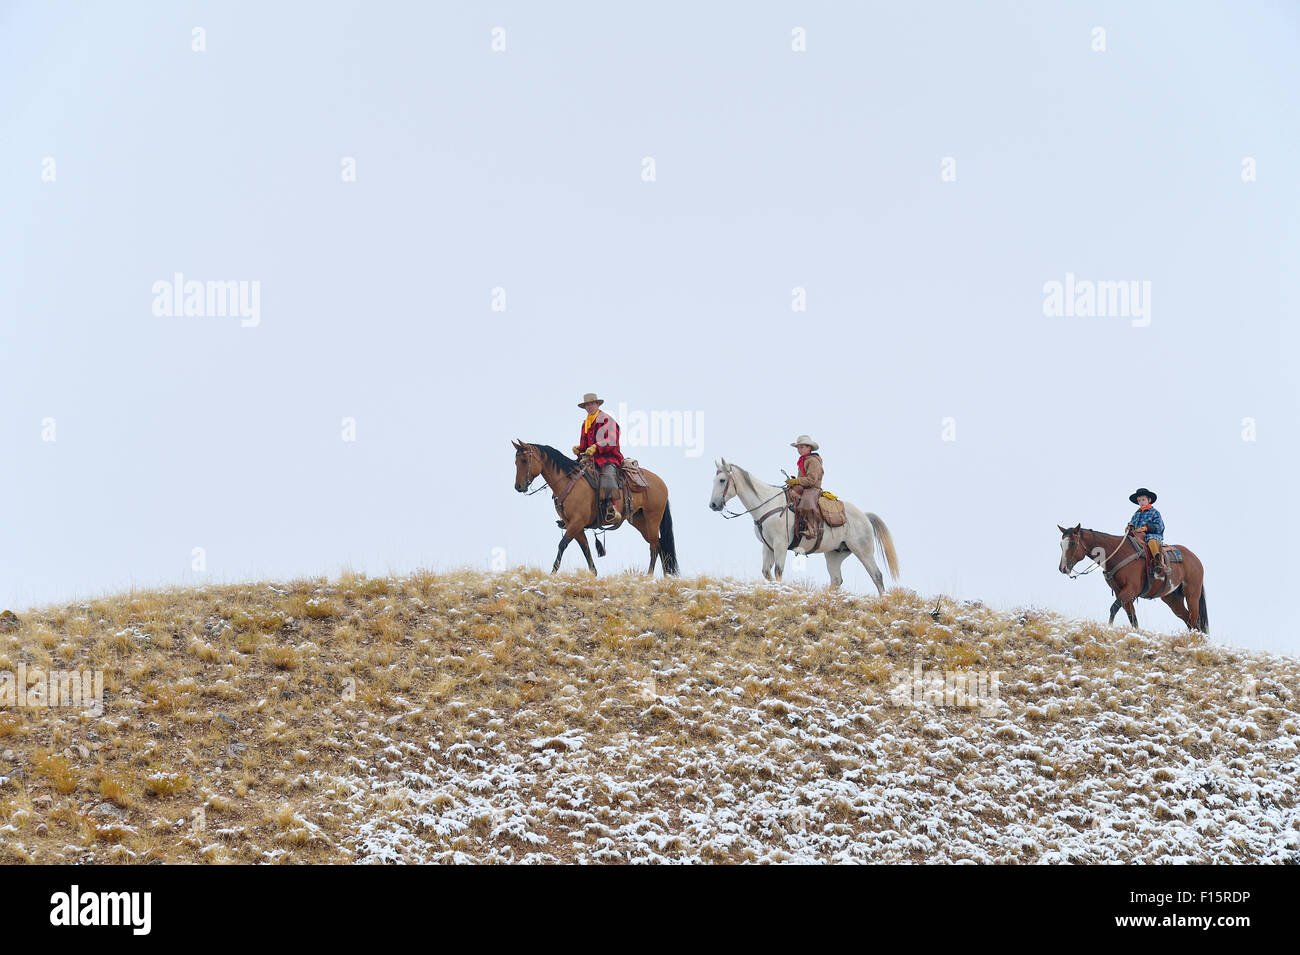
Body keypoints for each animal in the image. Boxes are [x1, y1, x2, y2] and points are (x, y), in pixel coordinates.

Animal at [509, 441, 681, 574]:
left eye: (524, 460)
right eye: (516, 462)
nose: (518, 487)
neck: (568, 481)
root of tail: (660, 482)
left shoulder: (577, 522)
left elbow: (562, 544)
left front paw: (552, 574)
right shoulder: (574, 526)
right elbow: (586, 549)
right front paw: (594, 574)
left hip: (653, 518)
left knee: (654, 546)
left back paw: (649, 575)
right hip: (640, 520)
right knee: (659, 544)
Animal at [712, 462, 894, 595]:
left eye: (722, 480)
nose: (713, 505)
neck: (767, 504)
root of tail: (864, 516)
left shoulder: (780, 545)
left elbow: (778, 571)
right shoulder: (767, 546)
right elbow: (766, 572)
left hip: (863, 551)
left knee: (877, 576)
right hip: (835, 554)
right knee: (836, 580)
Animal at [1055, 522, 1206, 634]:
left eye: (1073, 543)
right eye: (1061, 544)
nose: (1063, 568)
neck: (1118, 554)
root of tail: (1195, 559)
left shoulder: (1130, 590)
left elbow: (1114, 609)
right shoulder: (1121, 592)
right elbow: (1132, 617)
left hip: (1192, 595)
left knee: (1194, 619)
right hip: (1172, 598)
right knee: (1188, 619)